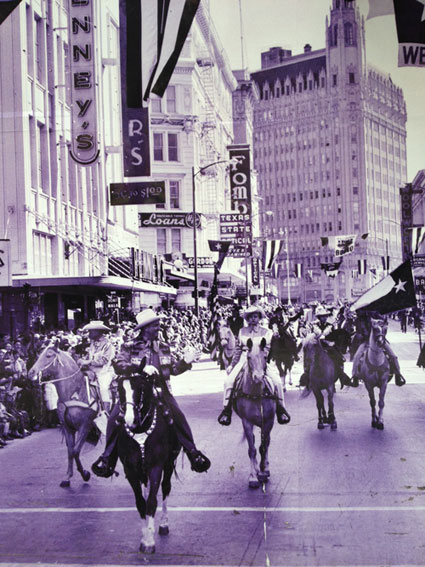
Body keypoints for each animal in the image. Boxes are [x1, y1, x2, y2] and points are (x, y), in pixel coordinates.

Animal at [28, 342, 100, 488]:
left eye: (49, 355)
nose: (30, 373)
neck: (75, 391)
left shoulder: (85, 426)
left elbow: (75, 450)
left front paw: (85, 474)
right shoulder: (67, 427)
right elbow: (71, 451)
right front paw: (68, 477)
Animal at [232, 338, 274, 488]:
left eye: (265, 357)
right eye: (249, 357)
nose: (258, 378)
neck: (256, 395)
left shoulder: (268, 421)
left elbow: (263, 446)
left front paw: (263, 472)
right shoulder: (247, 422)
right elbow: (252, 449)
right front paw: (253, 477)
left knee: (266, 442)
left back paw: (265, 467)